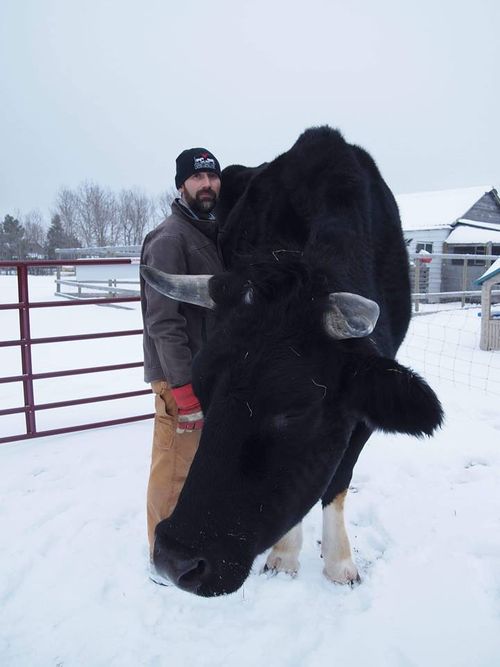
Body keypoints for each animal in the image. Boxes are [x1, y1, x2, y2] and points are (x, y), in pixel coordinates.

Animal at [141, 128, 442, 596]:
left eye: (296, 408)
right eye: (202, 387)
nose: (176, 560)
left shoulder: (364, 404)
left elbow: (337, 481)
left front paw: (339, 561)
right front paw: (284, 555)